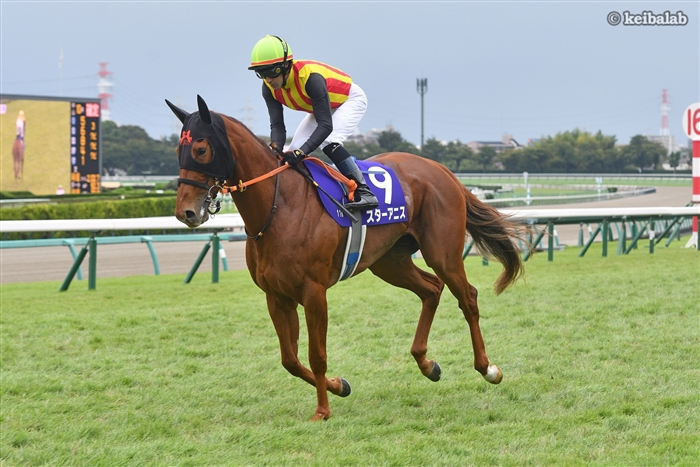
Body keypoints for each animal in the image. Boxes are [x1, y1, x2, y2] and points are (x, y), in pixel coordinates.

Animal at [167, 95, 527, 421]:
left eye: (201, 149)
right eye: (177, 151)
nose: (186, 212)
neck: (279, 207)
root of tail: (441, 169)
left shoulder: (313, 292)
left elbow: (316, 354)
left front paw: (322, 411)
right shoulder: (277, 296)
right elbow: (290, 359)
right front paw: (339, 385)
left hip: (443, 252)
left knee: (467, 297)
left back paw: (488, 368)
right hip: (389, 262)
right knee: (431, 289)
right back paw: (427, 364)